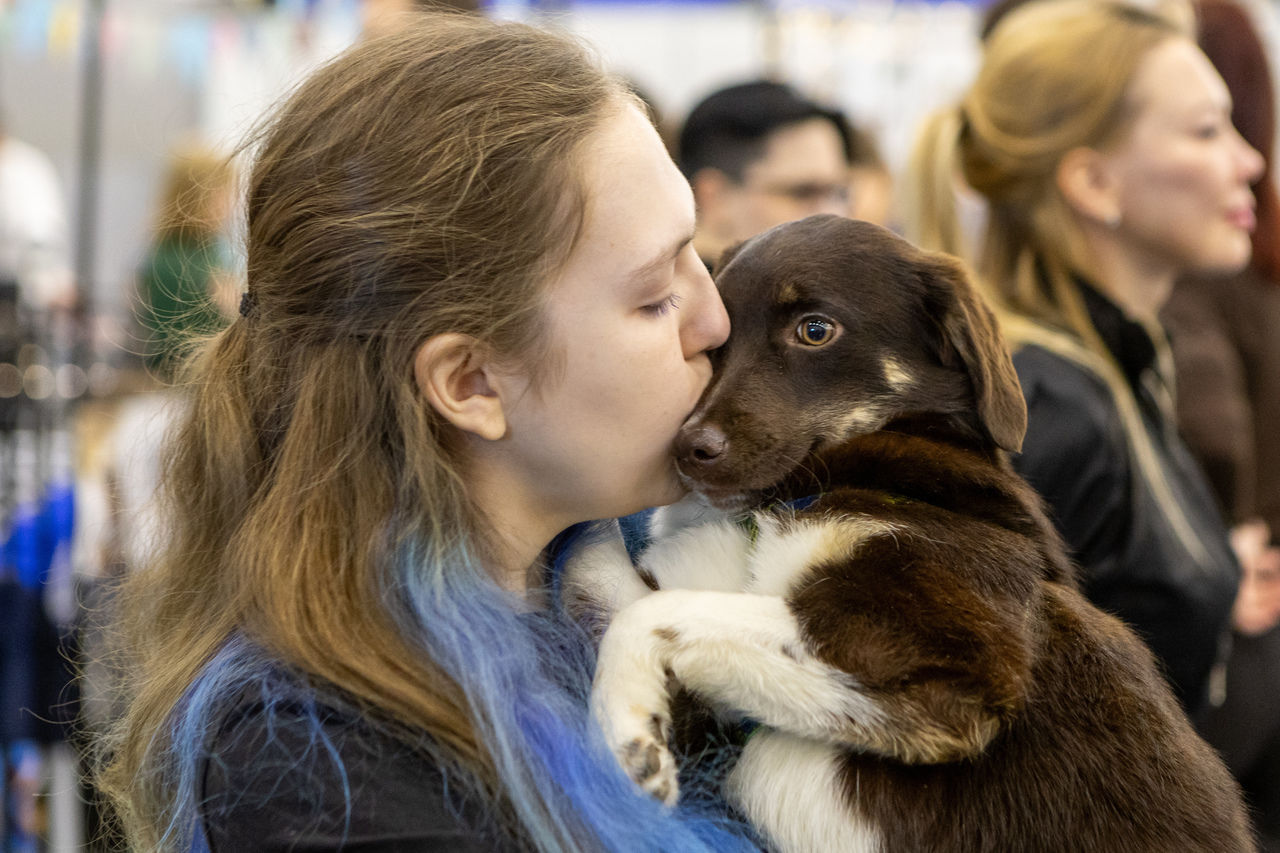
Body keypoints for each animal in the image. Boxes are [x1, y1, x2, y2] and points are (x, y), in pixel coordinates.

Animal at [565, 217, 1254, 850]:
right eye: (715, 336)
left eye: (815, 330)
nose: (689, 450)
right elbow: (592, 560)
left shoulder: (942, 653)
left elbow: (657, 612)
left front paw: (624, 729)